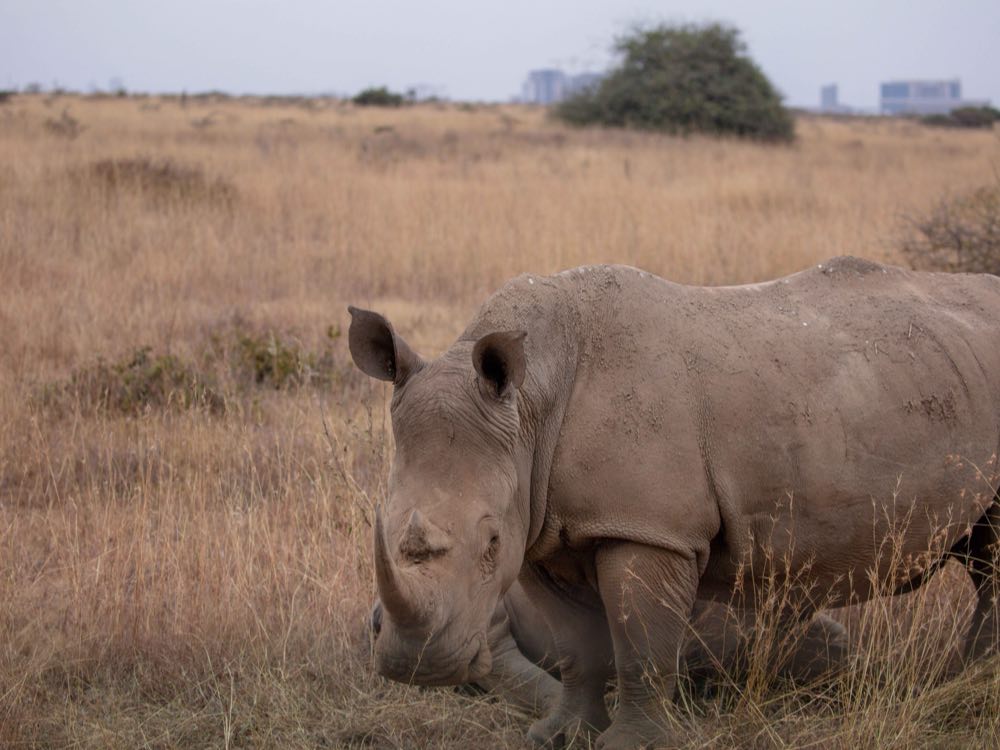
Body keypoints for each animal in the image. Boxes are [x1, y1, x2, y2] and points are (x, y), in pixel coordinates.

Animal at [348, 258, 1000, 749]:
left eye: (489, 543)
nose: (417, 666)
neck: (532, 404)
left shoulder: (648, 528)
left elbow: (640, 642)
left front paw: (632, 745)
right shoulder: (542, 526)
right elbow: (580, 646)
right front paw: (559, 737)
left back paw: (968, 690)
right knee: (984, 556)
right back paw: (964, 684)